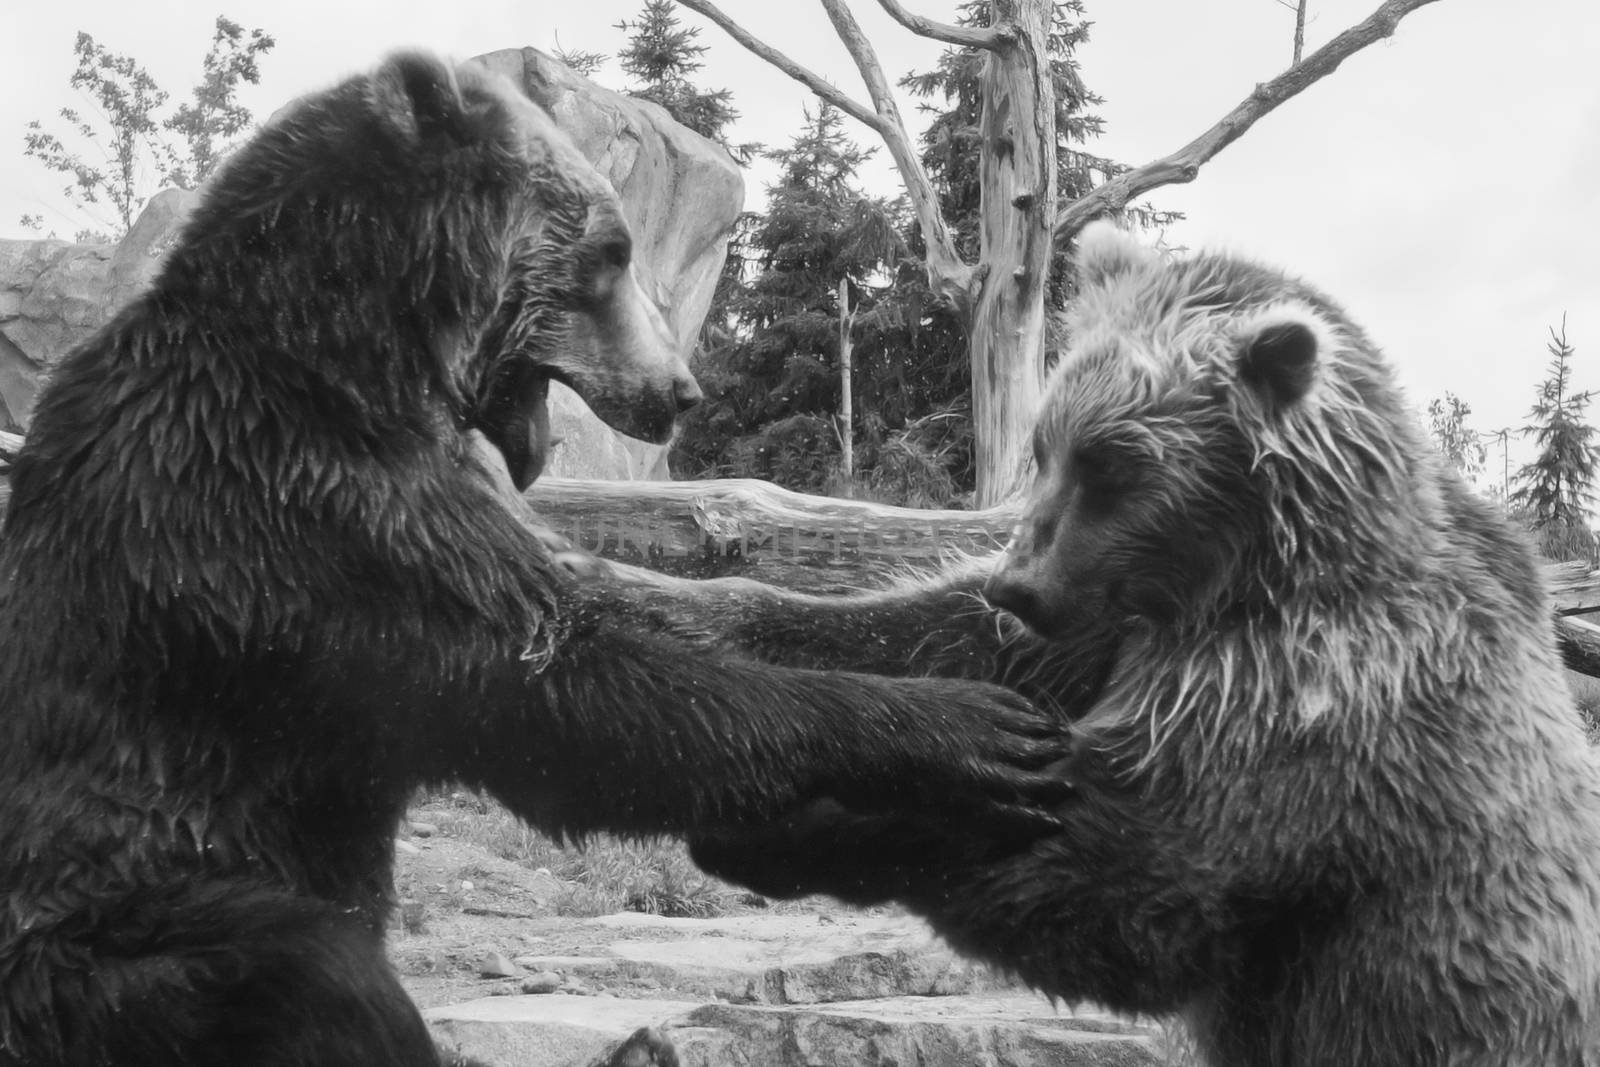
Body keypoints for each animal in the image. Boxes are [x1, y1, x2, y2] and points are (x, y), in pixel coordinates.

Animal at [0, 56, 1075, 1067]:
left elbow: (629, 604)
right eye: (612, 252)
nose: (681, 390)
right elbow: (574, 694)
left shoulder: (437, 503)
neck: (358, 364)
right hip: (115, 922)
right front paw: (965, 728)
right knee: (314, 975)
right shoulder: (318, 524)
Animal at [608, 223, 1600, 1067]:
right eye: (1047, 443)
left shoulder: (1323, 700)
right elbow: (925, 632)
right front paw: (660, 597)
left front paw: (794, 821)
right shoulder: (1106, 626)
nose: (1019, 587)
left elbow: (1130, 875)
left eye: (1114, 464)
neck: (1240, 576)